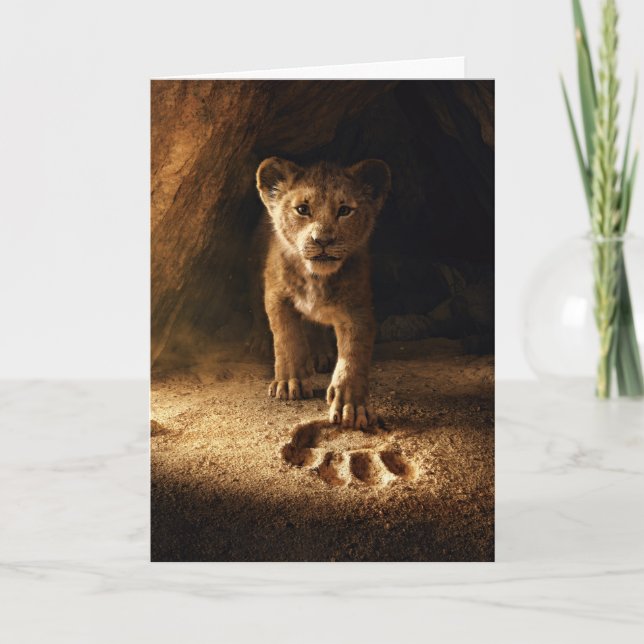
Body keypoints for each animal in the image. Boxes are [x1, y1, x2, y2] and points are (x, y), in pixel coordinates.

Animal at [255, 157, 391, 429]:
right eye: (302, 209)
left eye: (345, 210)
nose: (323, 240)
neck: (316, 278)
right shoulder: (276, 295)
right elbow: (287, 337)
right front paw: (290, 382)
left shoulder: (357, 309)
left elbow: (353, 355)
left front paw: (351, 405)